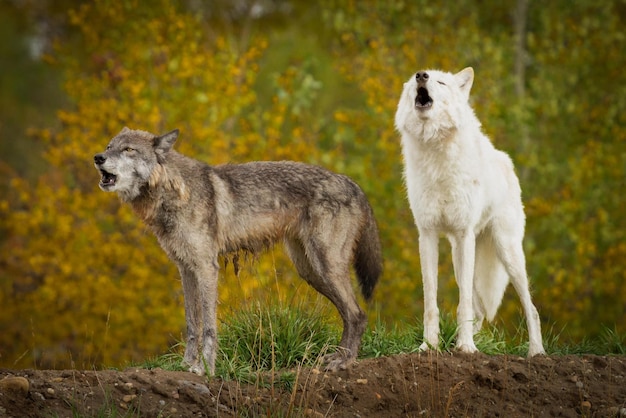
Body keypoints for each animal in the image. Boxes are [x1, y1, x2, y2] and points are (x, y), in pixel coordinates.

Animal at [93, 127, 382, 376]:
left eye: (128, 149)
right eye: (109, 146)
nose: (98, 158)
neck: (174, 191)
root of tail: (352, 182)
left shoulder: (207, 267)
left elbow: (209, 327)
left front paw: (205, 369)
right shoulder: (186, 269)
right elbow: (192, 324)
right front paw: (186, 364)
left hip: (325, 266)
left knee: (357, 314)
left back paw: (344, 361)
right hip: (310, 271)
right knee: (349, 314)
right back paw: (337, 356)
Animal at [394, 68, 540, 356]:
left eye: (440, 82)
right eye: (415, 79)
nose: (421, 75)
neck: (436, 154)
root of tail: (505, 160)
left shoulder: (464, 233)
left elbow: (463, 306)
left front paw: (466, 347)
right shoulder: (427, 235)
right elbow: (431, 303)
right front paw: (429, 346)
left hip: (506, 252)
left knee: (531, 308)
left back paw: (536, 352)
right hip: (459, 255)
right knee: (480, 309)